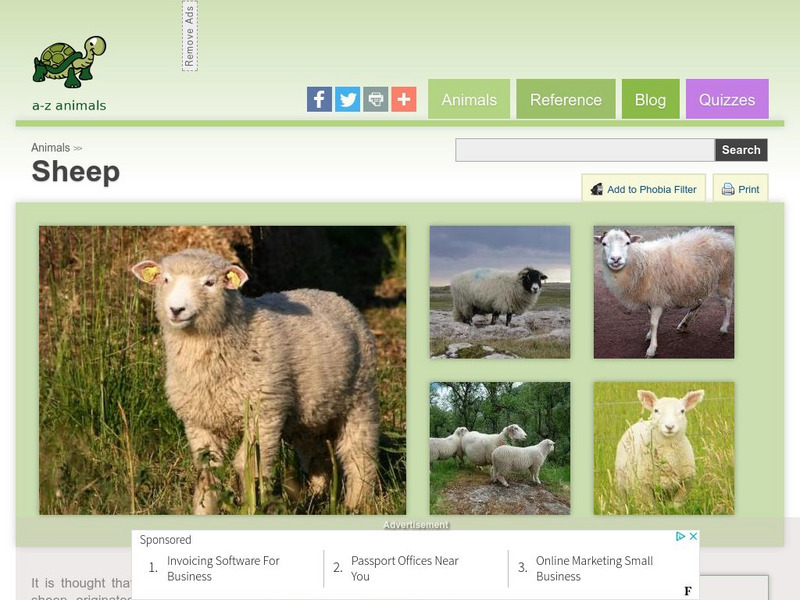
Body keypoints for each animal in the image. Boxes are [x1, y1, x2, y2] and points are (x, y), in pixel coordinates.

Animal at [132, 249, 379, 515]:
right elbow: (208, 472)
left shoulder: (264, 414)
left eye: (210, 283)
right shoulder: (199, 422)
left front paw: (252, 506)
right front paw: (204, 510)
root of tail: (329, 294)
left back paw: (358, 502)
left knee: (359, 453)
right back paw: (317, 494)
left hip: (361, 397)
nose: (176, 309)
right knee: (315, 452)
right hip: (308, 414)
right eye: (166, 279)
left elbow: (248, 466)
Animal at [594, 228, 734, 358]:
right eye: (604, 243)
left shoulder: (657, 297)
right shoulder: (652, 297)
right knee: (699, 301)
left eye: (627, 243)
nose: (615, 259)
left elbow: (653, 322)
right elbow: (650, 318)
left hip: (724, 276)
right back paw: (684, 323)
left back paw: (724, 327)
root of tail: (722, 236)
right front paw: (650, 334)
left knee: (728, 301)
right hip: (697, 282)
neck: (639, 261)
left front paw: (651, 349)